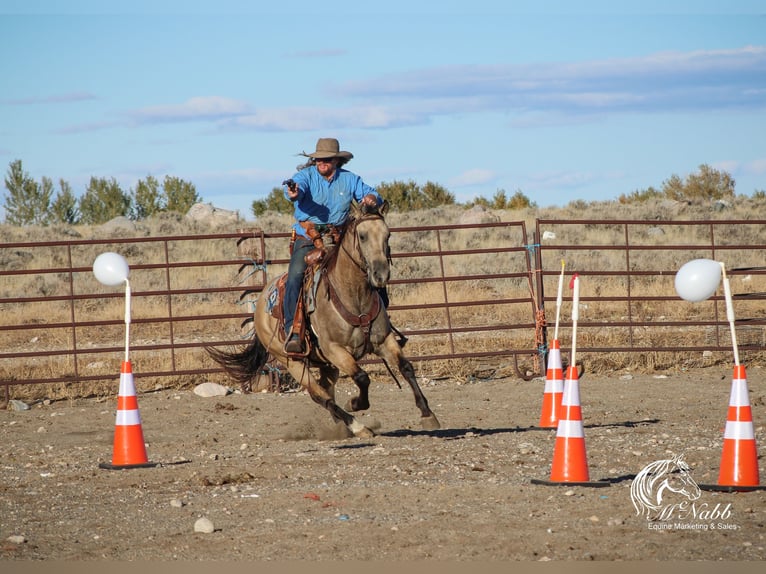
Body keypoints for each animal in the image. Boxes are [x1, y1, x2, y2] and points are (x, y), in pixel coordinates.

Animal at [207, 202, 440, 440]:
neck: (354, 295)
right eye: (363, 236)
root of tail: (261, 302)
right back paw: (357, 426)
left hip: (327, 365)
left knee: (325, 390)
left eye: (388, 235)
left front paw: (427, 414)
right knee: (319, 395)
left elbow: (406, 367)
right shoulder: (335, 349)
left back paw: (342, 426)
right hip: (292, 362)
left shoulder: (384, 340)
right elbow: (362, 378)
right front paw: (355, 403)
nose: (381, 274)